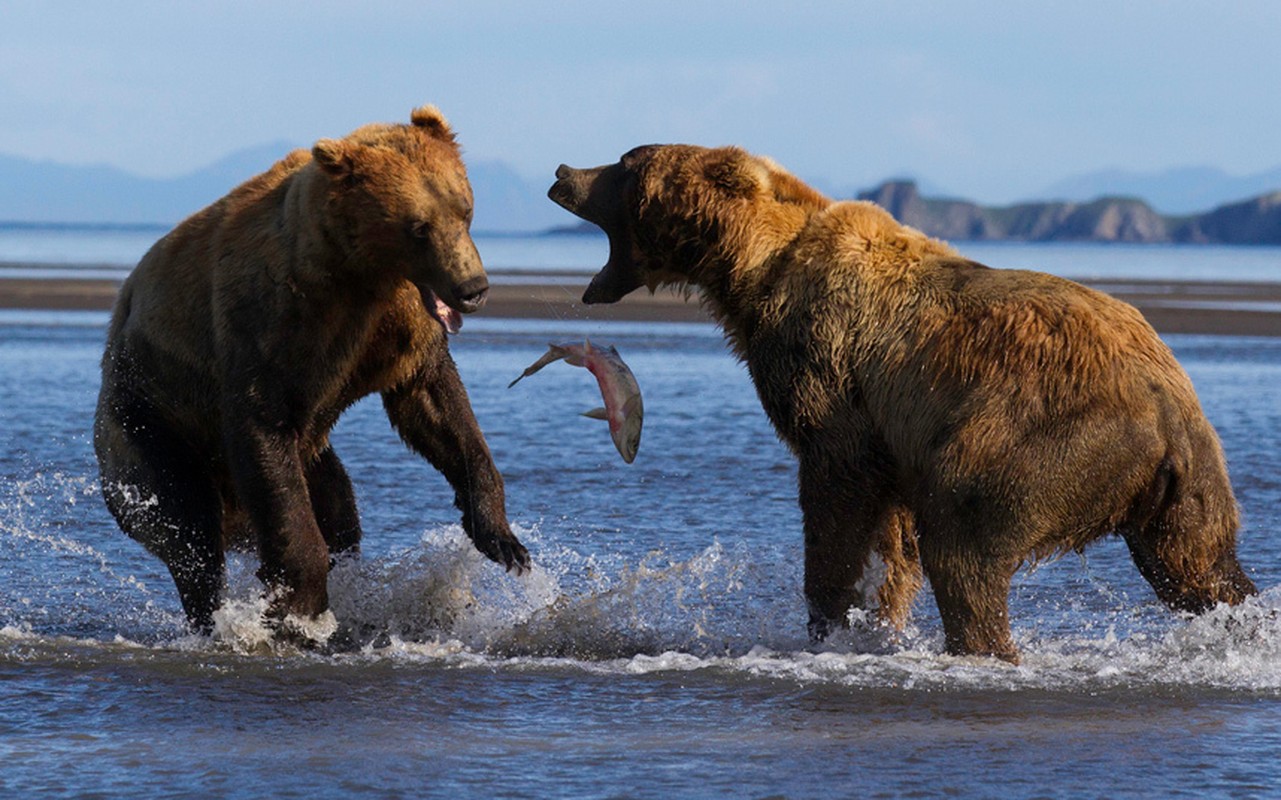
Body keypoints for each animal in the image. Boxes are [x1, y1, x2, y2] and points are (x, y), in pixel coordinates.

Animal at [93, 106, 525, 637]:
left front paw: (503, 540)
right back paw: (213, 614)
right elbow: (264, 429)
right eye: (418, 226)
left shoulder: (395, 327)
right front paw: (299, 605)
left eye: (464, 209)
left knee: (337, 504)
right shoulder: (276, 323)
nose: (473, 289)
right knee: (187, 528)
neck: (360, 273)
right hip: (149, 418)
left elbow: (436, 407)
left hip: (311, 453)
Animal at [548, 143, 1250, 660]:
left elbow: (837, 488)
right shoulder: (891, 432)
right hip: (1188, 485)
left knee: (965, 544)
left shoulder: (828, 368)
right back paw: (1242, 621)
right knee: (1195, 567)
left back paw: (981, 645)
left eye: (625, 164)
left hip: (1041, 436)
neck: (751, 270)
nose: (562, 172)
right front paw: (877, 620)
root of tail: (1167, 409)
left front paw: (830, 618)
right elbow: (891, 536)